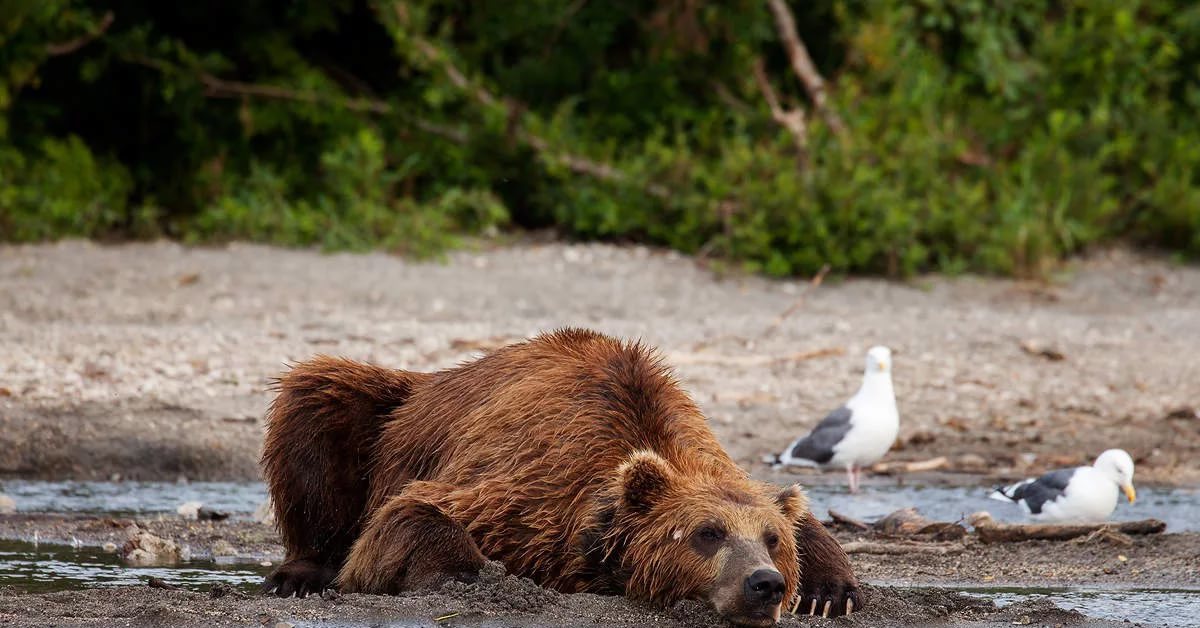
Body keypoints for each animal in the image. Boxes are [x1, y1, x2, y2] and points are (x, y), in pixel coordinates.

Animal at [262, 329, 864, 624]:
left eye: (772, 539)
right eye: (706, 533)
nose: (764, 583)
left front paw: (828, 593)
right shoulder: (525, 488)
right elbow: (407, 517)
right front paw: (467, 573)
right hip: (383, 414)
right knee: (317, 398)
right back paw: (299, 573)